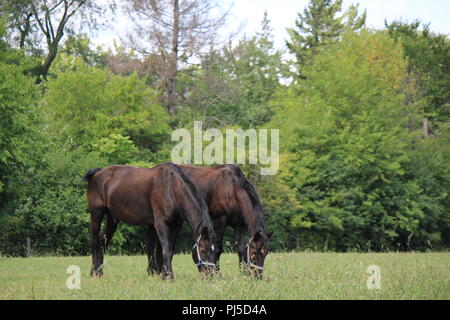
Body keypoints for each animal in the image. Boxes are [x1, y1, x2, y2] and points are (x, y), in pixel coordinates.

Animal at [82, 164, 216, 278]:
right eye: (202, 250)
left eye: (215, 250)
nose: (211, 275)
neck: (171, 188)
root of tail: (97, 173)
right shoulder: (161, 224)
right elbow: (166, 250)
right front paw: (169, 276)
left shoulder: (175, 225)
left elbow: (166, 251)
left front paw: (163, 275)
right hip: (96, 214)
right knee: (95, 242)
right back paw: (93, 272)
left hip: (112, 219)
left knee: (102, 241)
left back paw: (99, 272)